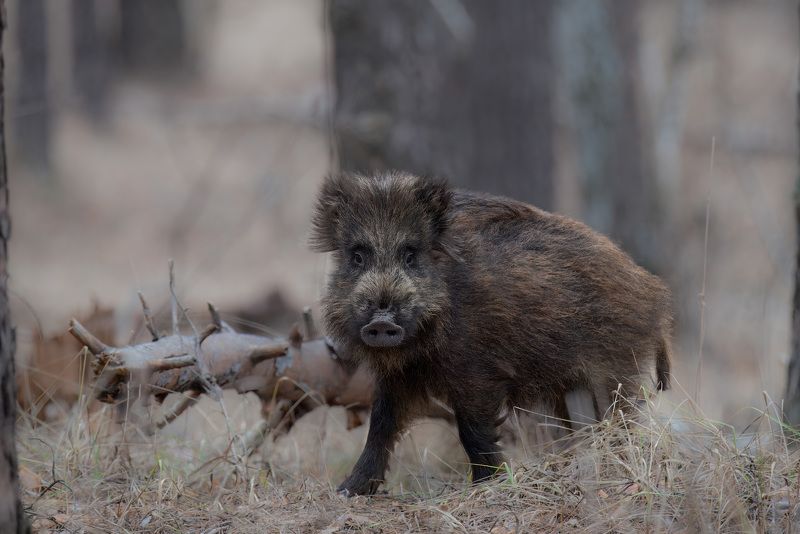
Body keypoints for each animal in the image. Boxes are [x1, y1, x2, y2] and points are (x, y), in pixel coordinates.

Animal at [310, 171, 673, 496]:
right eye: (357, 256)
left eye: (411, 255)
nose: (382, 321)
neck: (423, 345)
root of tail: (654, 294)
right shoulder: (396, 376)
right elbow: (380, 426)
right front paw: (347, 491)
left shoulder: (478, 372)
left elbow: (471, 430)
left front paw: (487, 483)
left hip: (612, 370)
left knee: (619, 418)